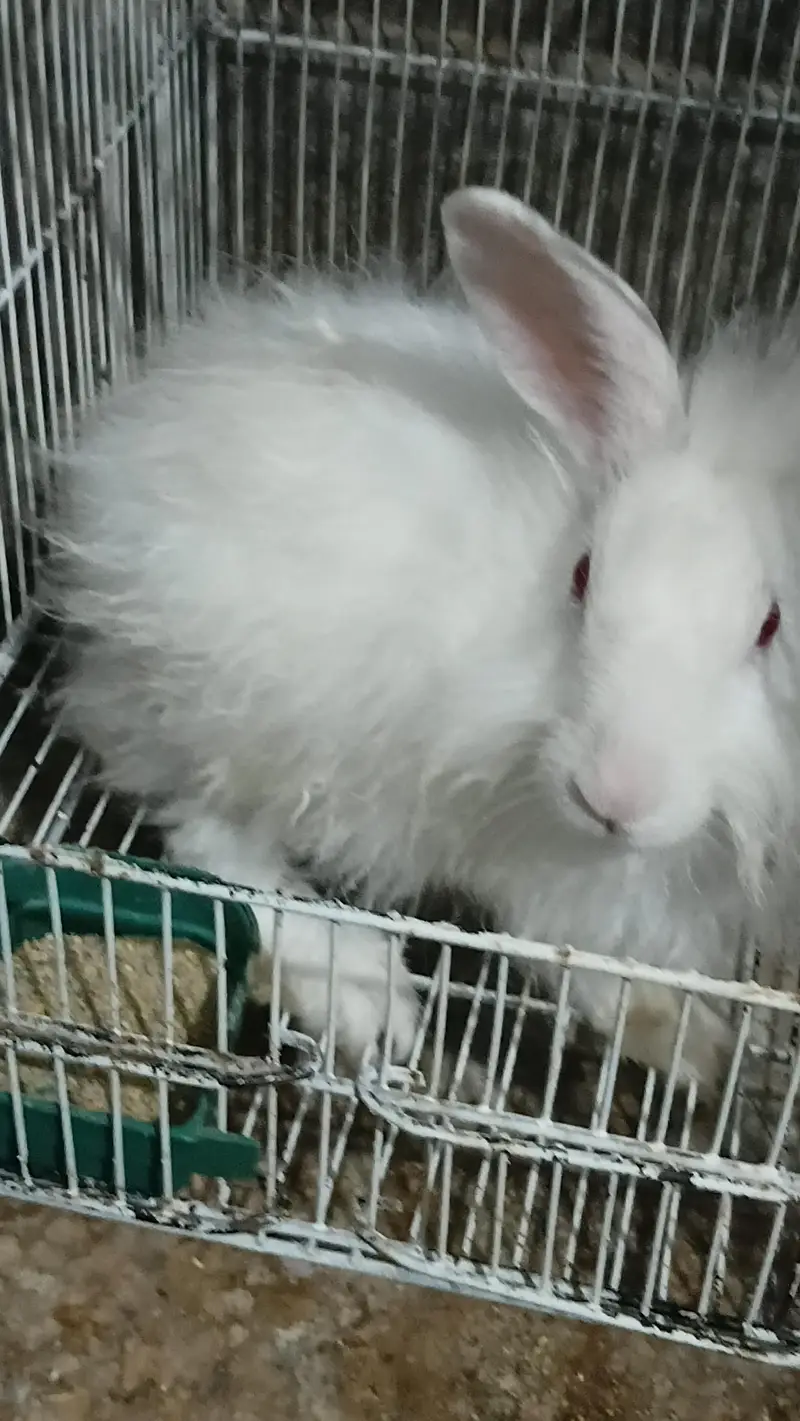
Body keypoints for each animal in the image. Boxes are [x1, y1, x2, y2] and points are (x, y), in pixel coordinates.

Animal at [48, 185, 795, 1093]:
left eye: (769, 624)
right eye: (583, 577)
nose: (614, 796)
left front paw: (696, 1041)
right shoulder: (527, 854)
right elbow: (566, 943)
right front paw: (682, 1041)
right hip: (236, 711)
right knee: (208, 831)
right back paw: (360, 989)